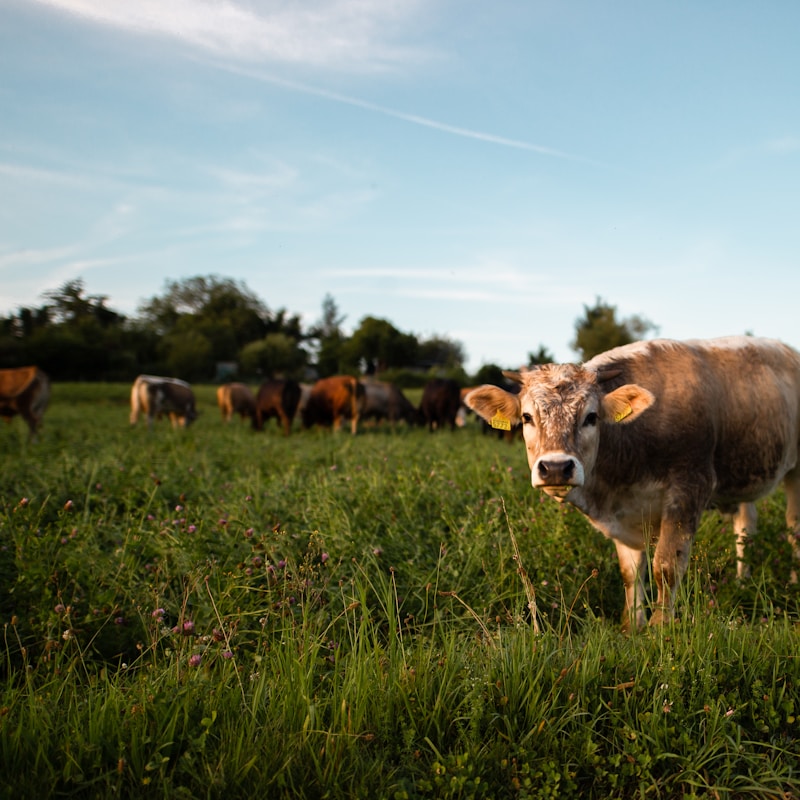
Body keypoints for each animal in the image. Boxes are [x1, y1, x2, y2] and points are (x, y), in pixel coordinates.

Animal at [465, 336, 800, 631]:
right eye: (527, 417)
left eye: (591, 417)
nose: (557, 468)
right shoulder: (623, 514)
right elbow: (631, 571)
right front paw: (632, 624)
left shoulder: (689, 486)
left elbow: (665, 565)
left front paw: (660, 627)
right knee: (746, 527)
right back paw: (743, 581)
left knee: (793, 527)